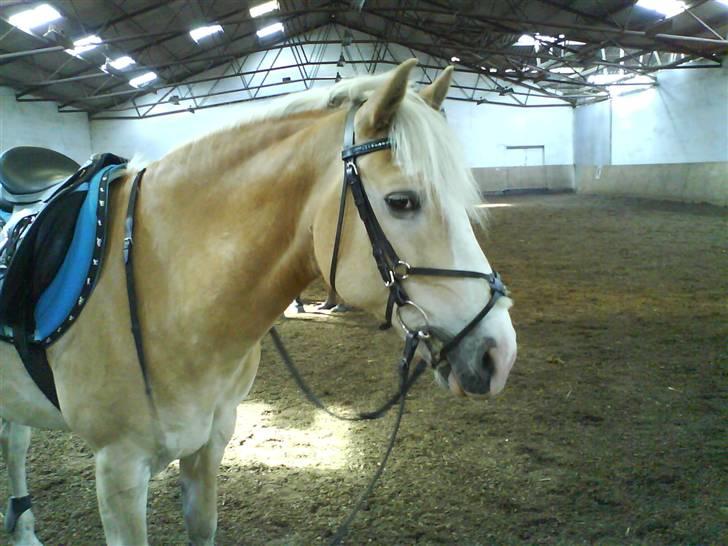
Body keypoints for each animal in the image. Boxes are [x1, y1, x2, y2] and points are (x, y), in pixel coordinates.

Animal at [0, 59, 517, 545]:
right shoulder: (118, 469)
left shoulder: (209, 443)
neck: (163, 284)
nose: (500, 354)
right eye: (402, 201)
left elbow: (202, 527)